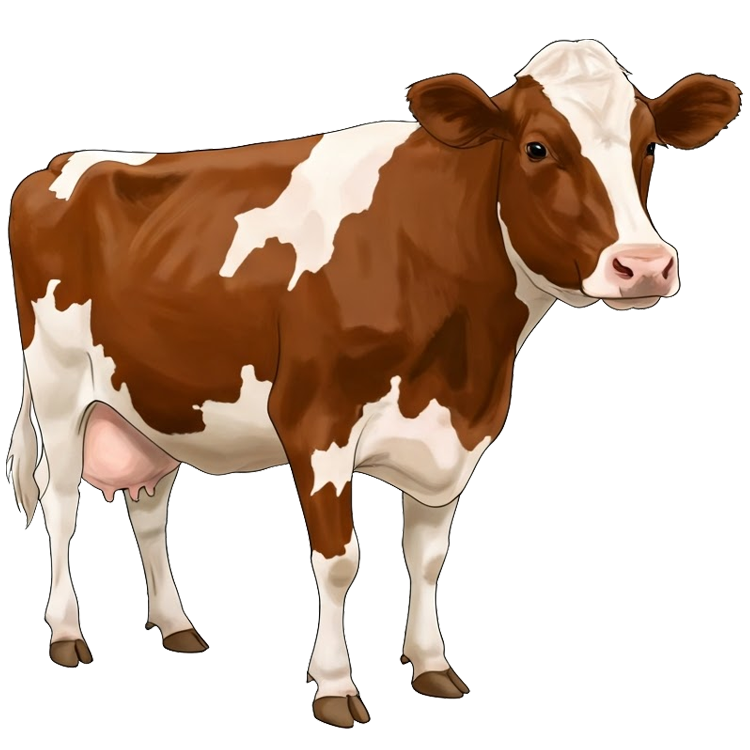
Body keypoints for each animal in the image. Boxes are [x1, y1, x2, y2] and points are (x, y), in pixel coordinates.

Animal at [7, 39, 740, 727]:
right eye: (537, 147)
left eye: (649, 146)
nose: (644, 265)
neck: (466, 358)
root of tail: (63, 164)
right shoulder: (316, 422)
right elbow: (339, 561)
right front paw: (335, 686)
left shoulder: (454, 435)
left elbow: (428, 557)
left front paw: (432, 665)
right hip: (60, 386)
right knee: (63, 503)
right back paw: (68, 633)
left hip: (155, 403)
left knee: (151, 507)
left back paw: (176, 625)